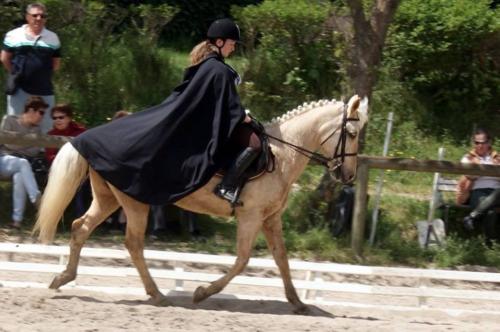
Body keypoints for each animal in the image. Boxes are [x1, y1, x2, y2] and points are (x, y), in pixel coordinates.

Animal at [31, 94, 368, 314]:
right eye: (351, 133)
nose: (348, 175)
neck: (283, 153)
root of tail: (92, 137)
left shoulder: (270, 218)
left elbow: (282, 259)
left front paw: (297, 302)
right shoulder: (251, 216)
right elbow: (243, 260)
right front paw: (202, 292)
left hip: (109, 199)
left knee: (81, 227)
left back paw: (63, 278)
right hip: (135, 203)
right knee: (133, 243)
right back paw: (156, 294)